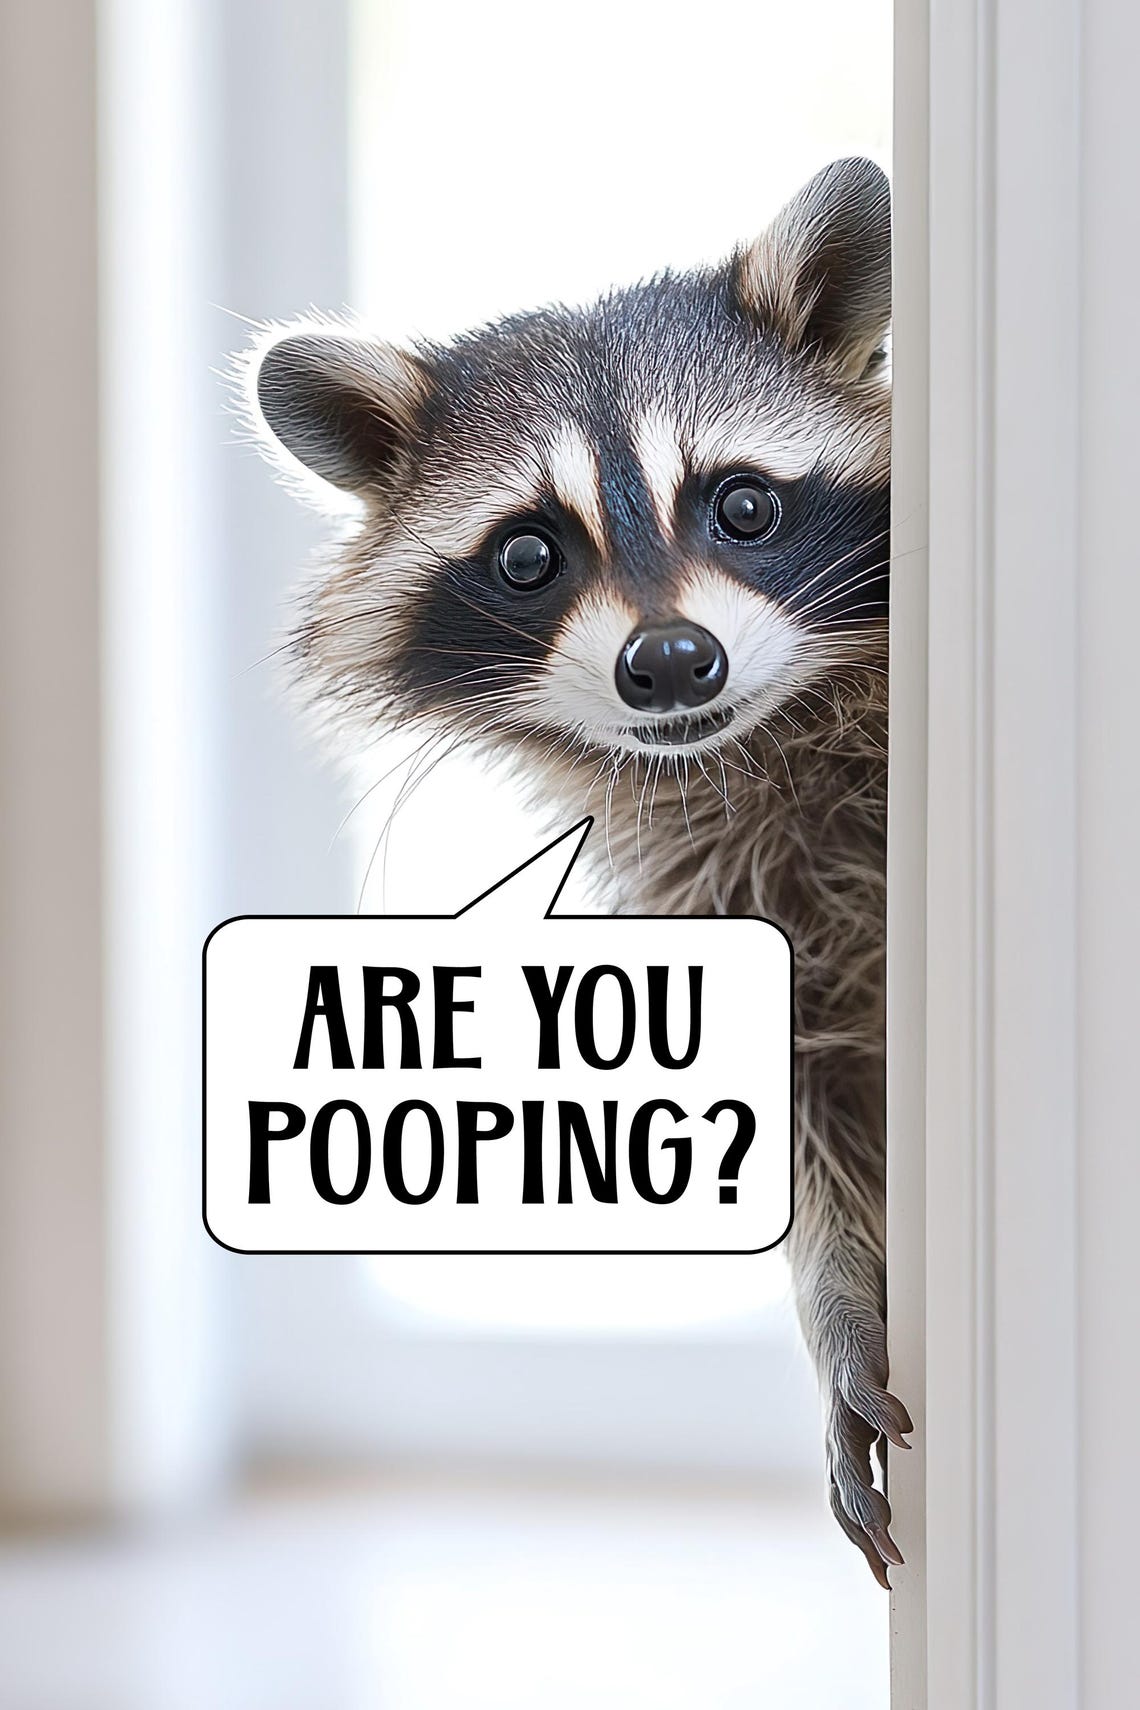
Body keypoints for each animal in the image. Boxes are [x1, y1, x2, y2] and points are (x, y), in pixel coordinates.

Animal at [244, 156, 911, 1584]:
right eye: (528, 553)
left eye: (745, 503)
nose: (670, 663)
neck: (766, 741)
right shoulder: (719, 884)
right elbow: (806, 1108)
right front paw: (840, 1302)